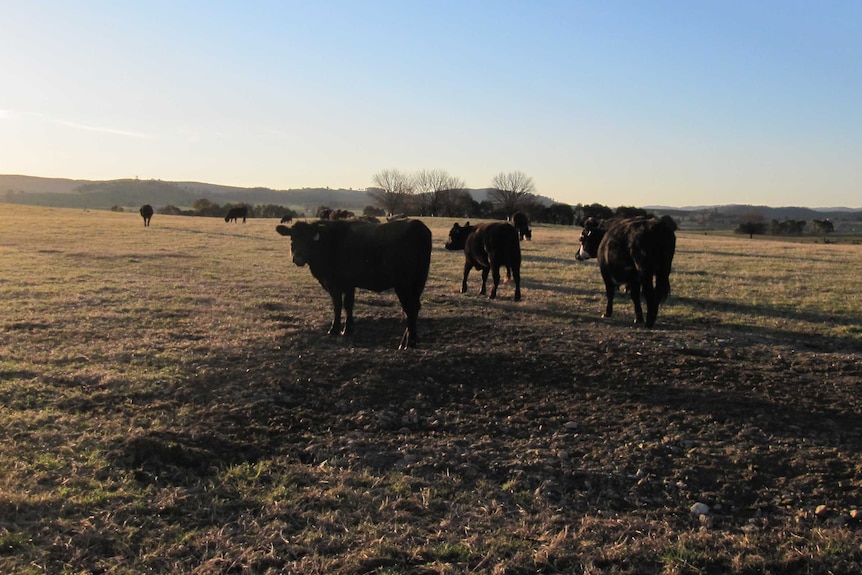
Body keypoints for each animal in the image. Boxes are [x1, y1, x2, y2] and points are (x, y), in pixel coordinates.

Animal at [276, 218, 432, 348]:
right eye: (292, 238)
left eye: (309, 240)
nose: (298, 258)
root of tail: (417, 225)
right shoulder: (349, 285)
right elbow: (349, 305)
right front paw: (348, 329)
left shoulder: (334, 283)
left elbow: (338, 305)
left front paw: (334, 329)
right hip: (417, 283)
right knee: (414, 308)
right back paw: (407, 339)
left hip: (403, 285)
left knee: (410, 309)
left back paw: (408, 343)